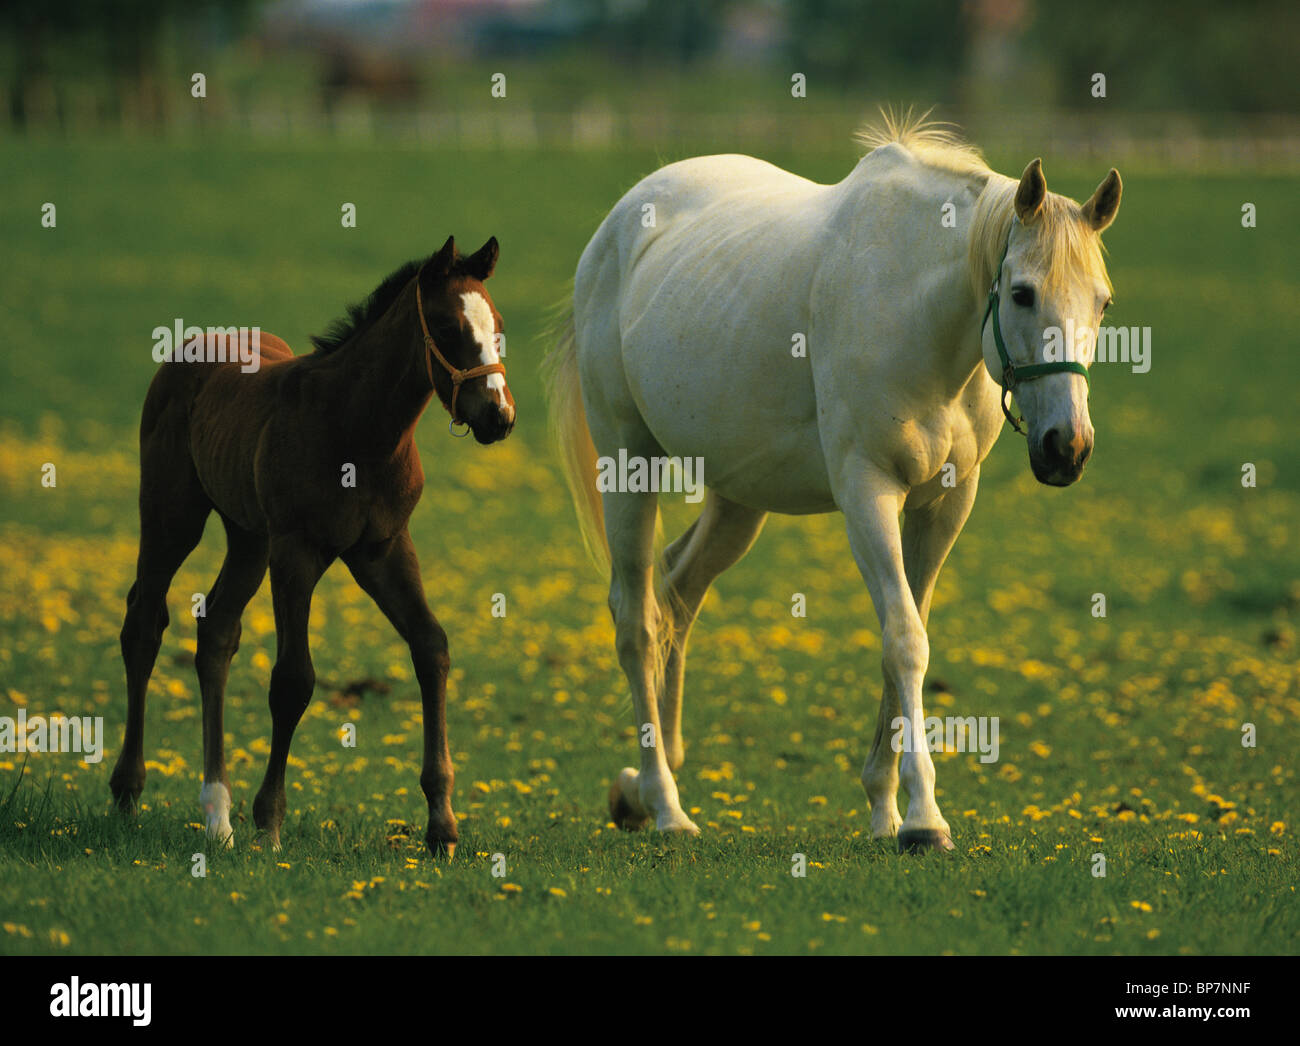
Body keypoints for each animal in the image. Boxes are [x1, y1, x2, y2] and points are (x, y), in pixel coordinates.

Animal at [109, 235, 515, 858]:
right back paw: (130, 793)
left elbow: (431, 648)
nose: (498, 416)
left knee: (216, 632)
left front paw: (442, 826)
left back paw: (217, 816)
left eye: (497, 326)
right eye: (447, 327)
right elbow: (293, 679)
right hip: (173, 515)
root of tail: (195, 343)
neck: (357, 429)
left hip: (249, 538)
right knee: (144, 624)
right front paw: (270, 822)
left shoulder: (384, 548)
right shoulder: (297, 550)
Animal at [546, 115, 1121, 853]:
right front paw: (924, 820)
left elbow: (906, 635)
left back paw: (645, 785)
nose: (1066, 448)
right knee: (636, 619)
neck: (916, 310)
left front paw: (884, 809)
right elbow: (905, 640)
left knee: (676, 595)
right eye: (1021, 292)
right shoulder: (867, 492)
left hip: (737, 499)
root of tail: (621, 223)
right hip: (629, 464)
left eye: (1103, 303)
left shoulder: (944, 505)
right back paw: (666, 805)